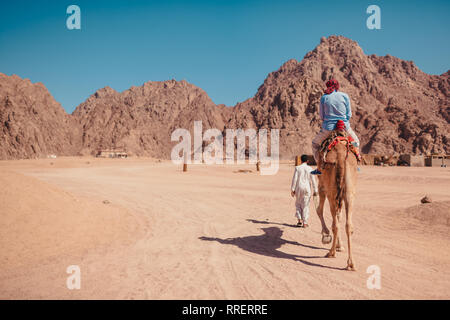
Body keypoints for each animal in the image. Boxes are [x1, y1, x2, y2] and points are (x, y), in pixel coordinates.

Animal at [314, 132, 356, 270]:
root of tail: (341, 157)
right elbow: (339, 216)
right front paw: (340, 246)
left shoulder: (322, 186)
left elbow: (319, 210)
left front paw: (326, 235)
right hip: (348, 193)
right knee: (348, 224)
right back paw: (351, 263)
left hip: (331, 192)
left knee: (335, 224)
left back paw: (331, 252)